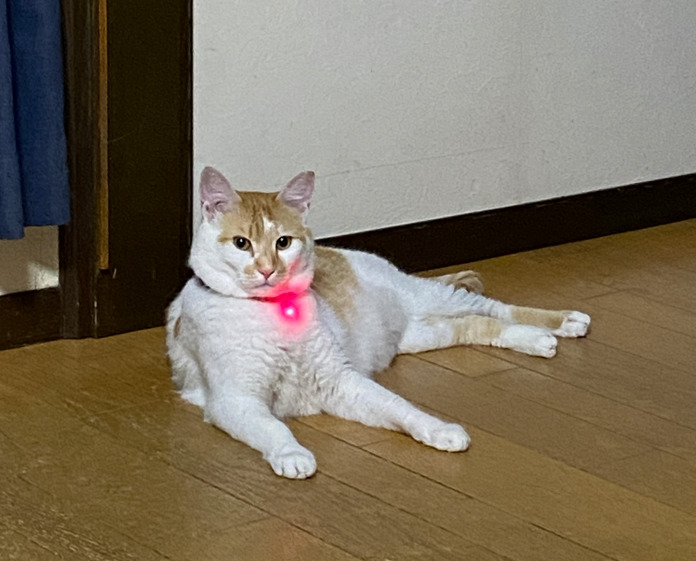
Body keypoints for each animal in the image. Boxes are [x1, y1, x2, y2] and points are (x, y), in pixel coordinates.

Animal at [166, 167, 590, 479]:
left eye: (283, 242)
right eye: (242, 244)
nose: (269, 269)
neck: (272, 313)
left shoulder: (342, 380)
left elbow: (400, 407)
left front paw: (439, 429)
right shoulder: (235, 400)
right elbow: (275, 427)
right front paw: (292, 453)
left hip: (430, 298)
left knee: (495, 308)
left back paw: (566, 321)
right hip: (425, 332)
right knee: (477, 323)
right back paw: (536, 339)